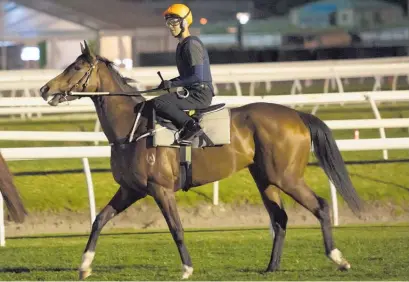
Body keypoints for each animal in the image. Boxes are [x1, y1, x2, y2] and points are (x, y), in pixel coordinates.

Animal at [39, 41, 362, 280]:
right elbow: (99, 220)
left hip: (287, 177)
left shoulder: (160, 189)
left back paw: (339, 259)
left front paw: (187, 268)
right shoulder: (130, 190)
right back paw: (272, 267)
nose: (45, 89)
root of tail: (296, 114)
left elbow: (176, 228)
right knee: (280, 218)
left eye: (76, 66)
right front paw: (84, 266)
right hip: (265, 178)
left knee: (320, 205)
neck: (133, 128)